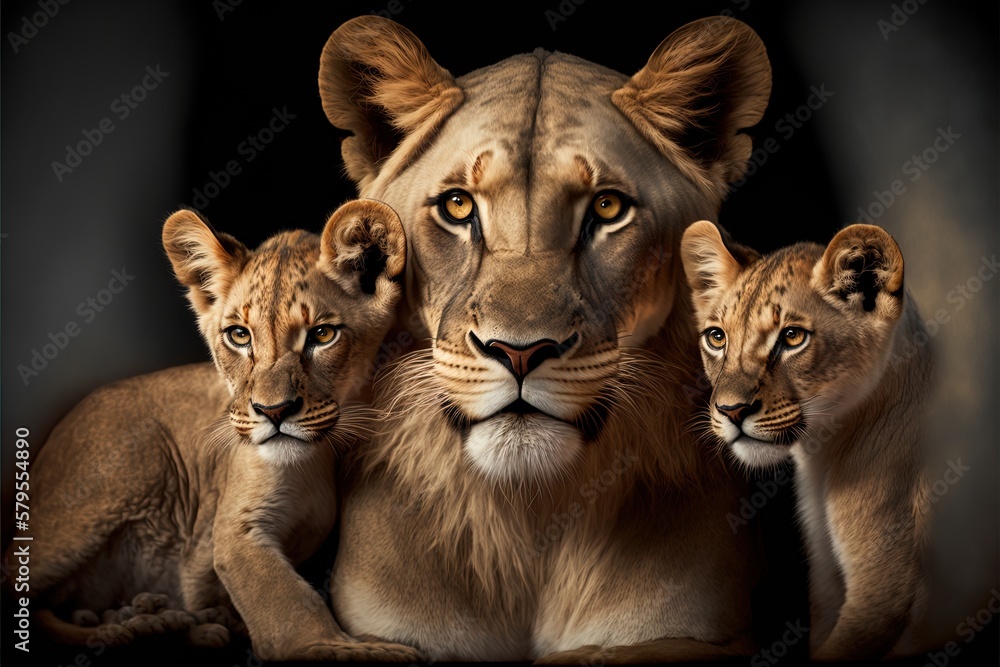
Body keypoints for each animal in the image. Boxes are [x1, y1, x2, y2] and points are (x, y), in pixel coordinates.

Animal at [7, 199, 421, 662]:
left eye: (323, 334)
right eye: (239, 335)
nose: (273, 411)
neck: (319, 457)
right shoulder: (236, 531)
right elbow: (287, 598)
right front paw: (335, 646)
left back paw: (162, 619)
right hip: (132, 460)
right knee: (19, 587)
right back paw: (141, 626)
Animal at [679, 220, 934, 661]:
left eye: (793, 337)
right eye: (716, 337)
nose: (731, 410)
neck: (822, 457)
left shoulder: (885, 589)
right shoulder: (828, 581)